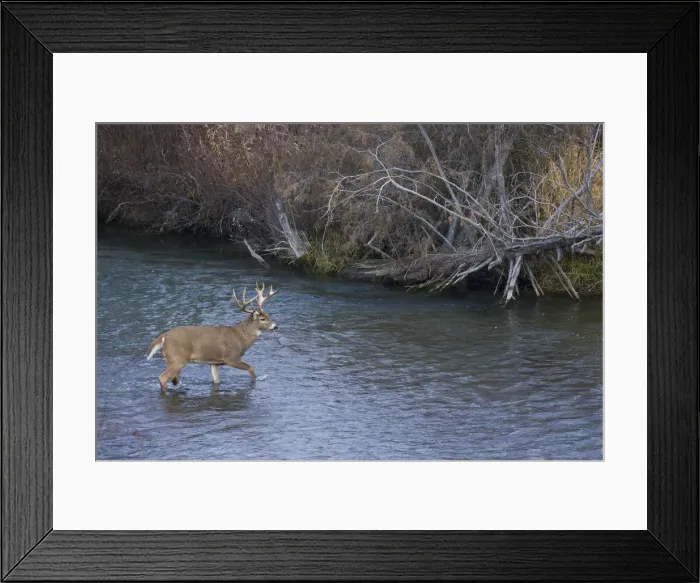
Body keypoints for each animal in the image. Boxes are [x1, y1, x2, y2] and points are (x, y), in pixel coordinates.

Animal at [146, 283, 279, 393]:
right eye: (262, 319)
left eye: (269, 316)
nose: (276, 326)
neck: (241, 337)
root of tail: (164, 336)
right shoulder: (232, 357)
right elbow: (251, 369)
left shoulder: (214, 362)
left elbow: (216, 381)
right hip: (178, 358)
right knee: (163, 377)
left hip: (171, 359)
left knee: (173, 378)